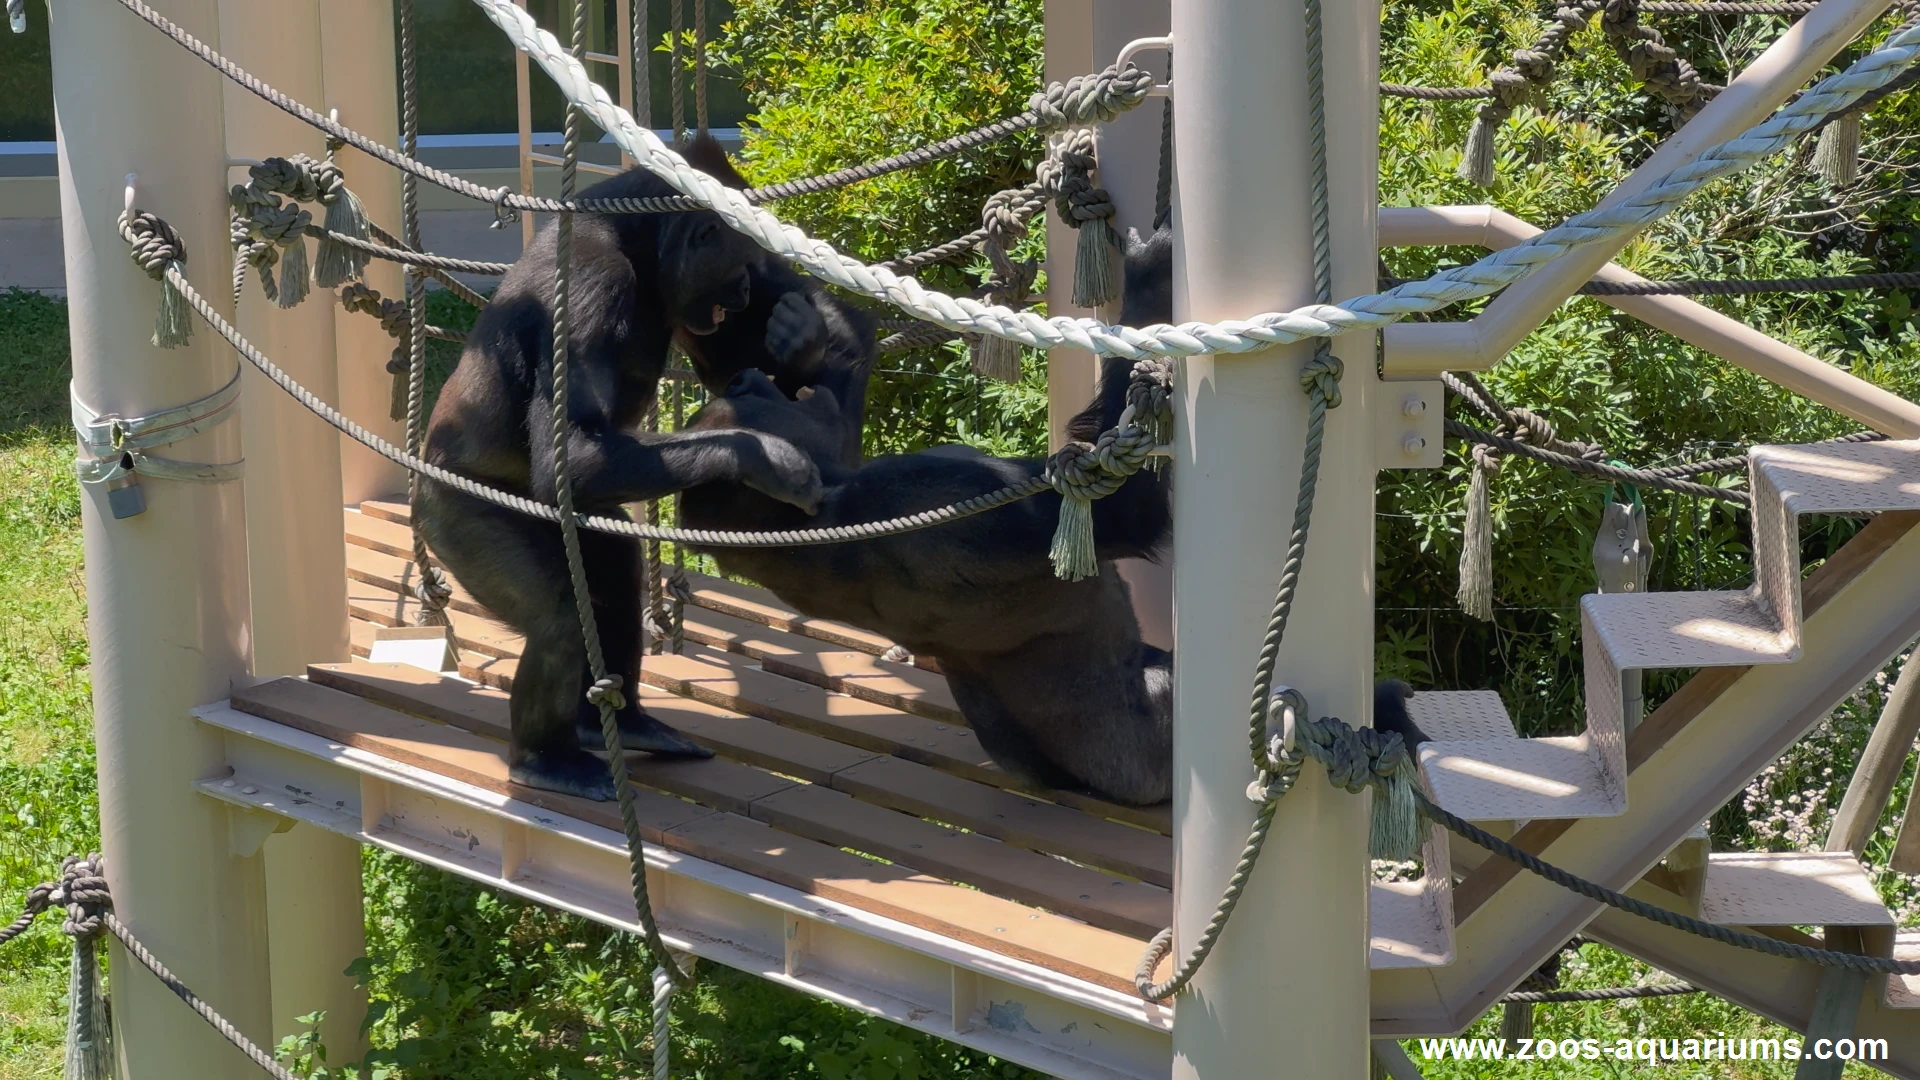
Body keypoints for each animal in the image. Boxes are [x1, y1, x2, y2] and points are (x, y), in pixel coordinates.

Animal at [424, 136, 821, 799]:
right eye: (738, 262)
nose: (744, 292)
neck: (633, 237)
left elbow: (729, 369)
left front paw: (804, 340)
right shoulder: (592, 288)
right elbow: (575, 450)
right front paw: (764, 457)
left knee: (611, 569)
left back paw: (625, 721)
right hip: (458, 519)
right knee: (559, 617)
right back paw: (545, 759)